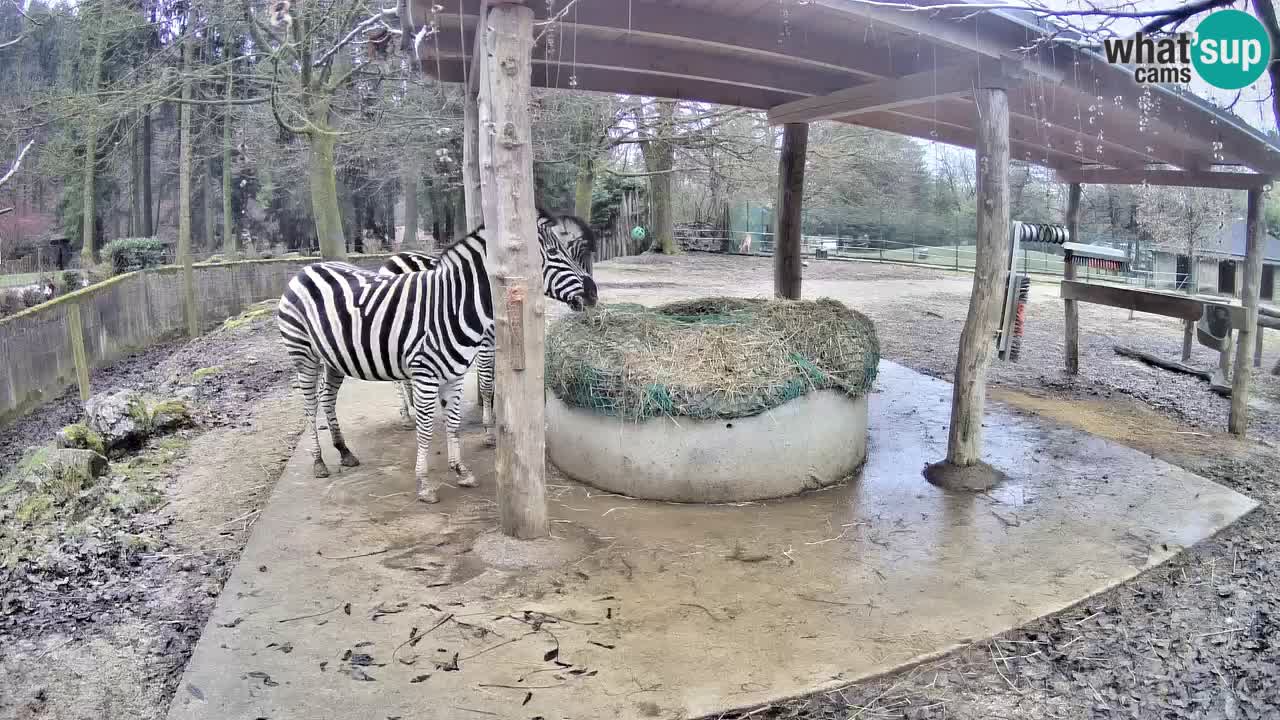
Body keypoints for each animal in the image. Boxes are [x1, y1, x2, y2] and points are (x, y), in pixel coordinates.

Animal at [378, 210, 599, 443]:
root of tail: (394, 257)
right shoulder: (486, 340)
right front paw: (489, 429)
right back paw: (405, 415)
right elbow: (486, 382)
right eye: (568, 252)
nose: (593, 295)